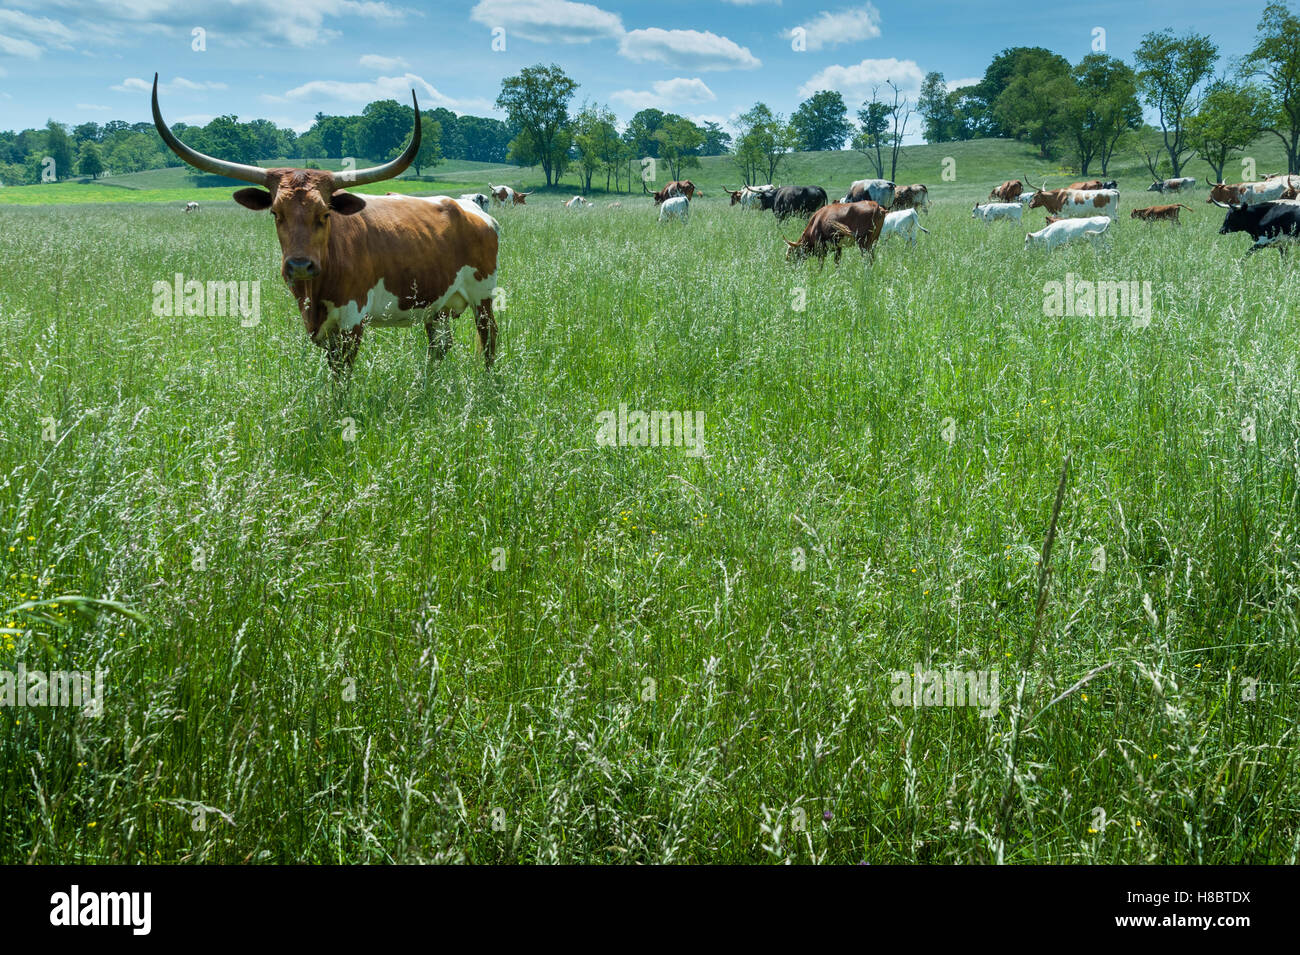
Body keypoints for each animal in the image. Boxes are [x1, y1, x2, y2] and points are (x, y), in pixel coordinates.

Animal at [150, 72, 496, 374]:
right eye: (275, 213)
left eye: (325, 214)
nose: (300, 265)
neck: (315, 290)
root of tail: (468, 207)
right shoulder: (320, 328)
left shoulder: (351, 321)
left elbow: (342, 375)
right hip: (437, 305)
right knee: (439, 346)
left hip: (483, 295)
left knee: (489, 339)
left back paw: (487, 384)